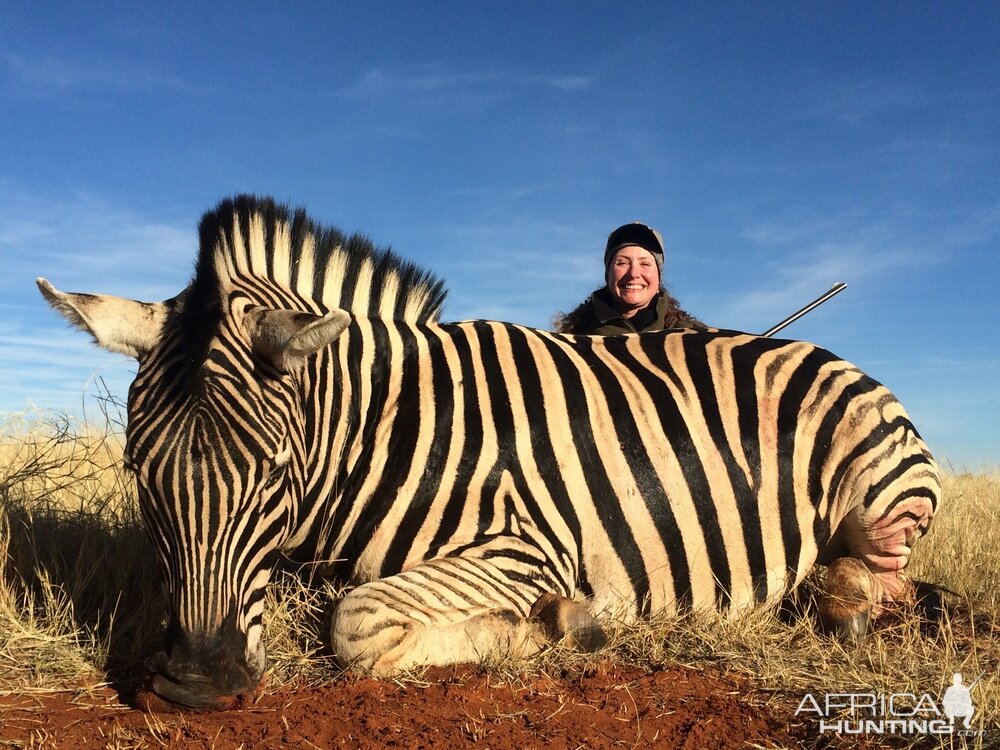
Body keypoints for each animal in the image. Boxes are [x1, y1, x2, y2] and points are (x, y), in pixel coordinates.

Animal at [39, 194, 940, 712]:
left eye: (271, 473)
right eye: (139, 473)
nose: (196, 687)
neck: (382, 429)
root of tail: (837, 358)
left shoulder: (529, 548)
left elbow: (354, 624)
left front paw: (557, 629)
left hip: (882, 499)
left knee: (876, 582)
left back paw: (840, 603)